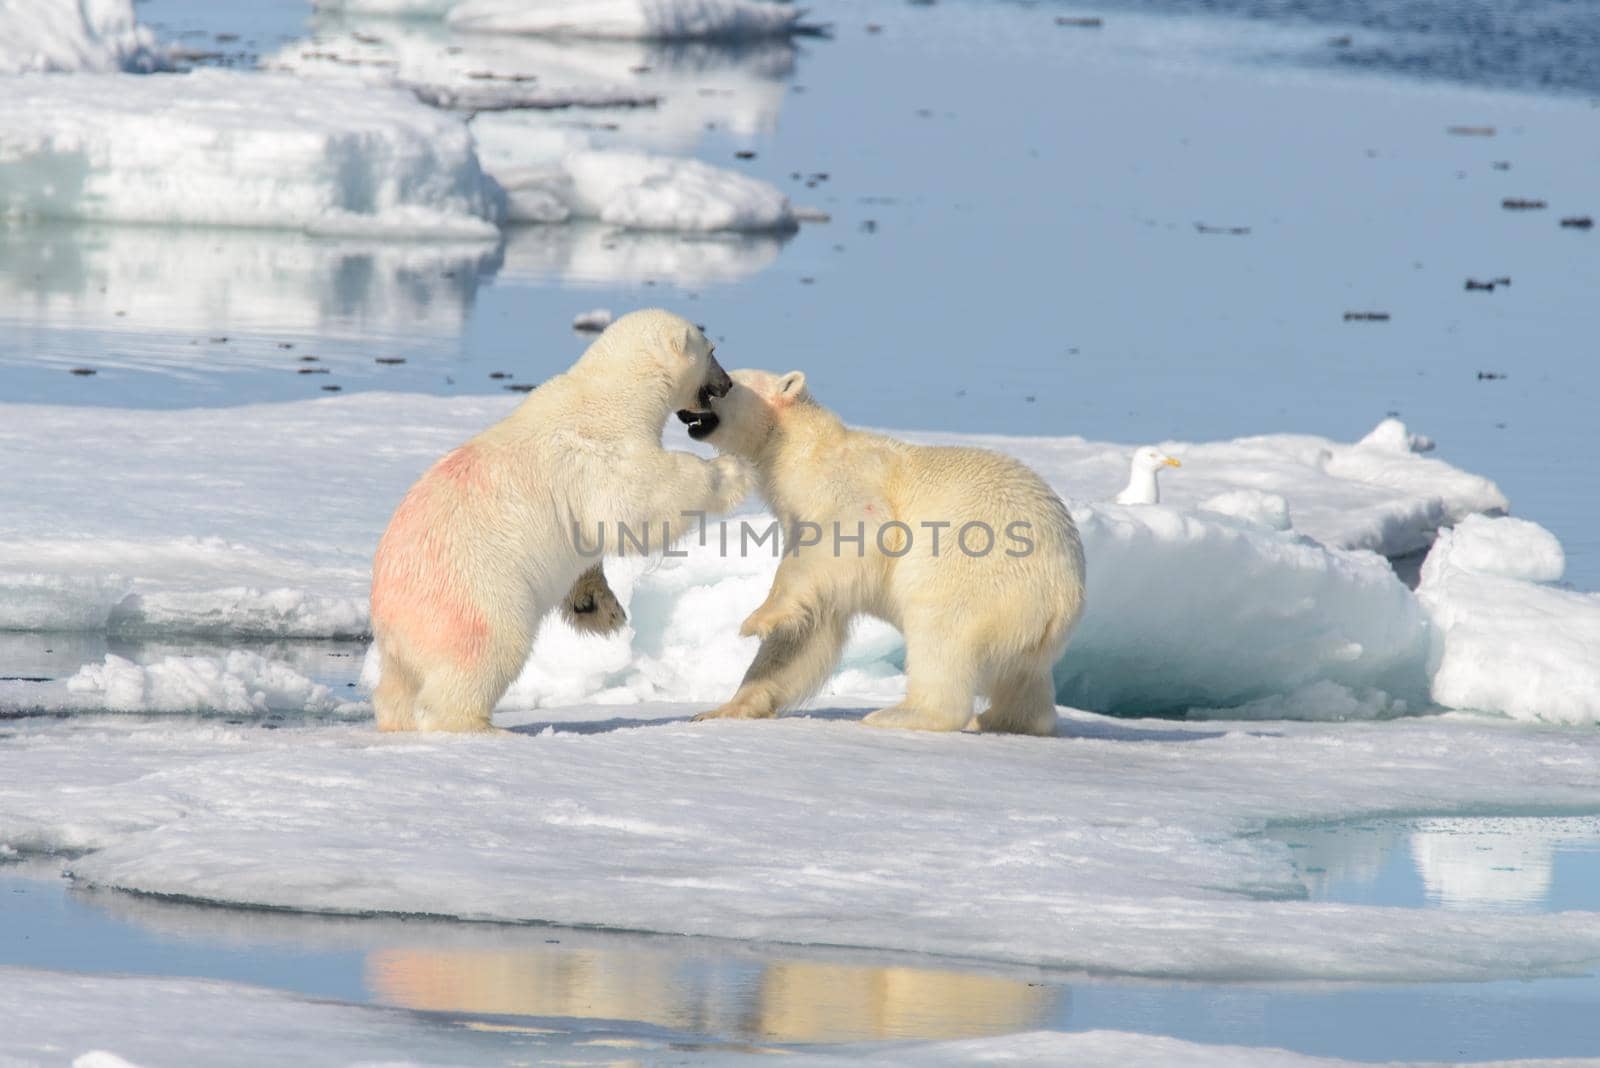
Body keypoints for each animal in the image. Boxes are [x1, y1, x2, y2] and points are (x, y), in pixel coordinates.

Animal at [371, 308, 752, 735]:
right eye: (713, 350)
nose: (728, 383)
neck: (613, 395)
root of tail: (390, 610)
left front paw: (600, 609)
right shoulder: (600, 453)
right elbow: (636, 502)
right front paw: (734, 469)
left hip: (406, 634)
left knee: (398, 682)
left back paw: (397, 719)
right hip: (476, 593)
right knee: (489, 649)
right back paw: (479, 725)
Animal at [675, 369, 1088, 735]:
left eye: (725, 383)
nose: (683, 411)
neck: (799, 447)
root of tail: (1064, 593)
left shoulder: (846, 484)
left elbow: (850, 534)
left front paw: (757, 619)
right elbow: (808, 630)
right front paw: (722, 709)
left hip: (976, 578)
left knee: (940, 638)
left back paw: (900, 714)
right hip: (1028, 630)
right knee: (1022, 678)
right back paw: (1001, 719)